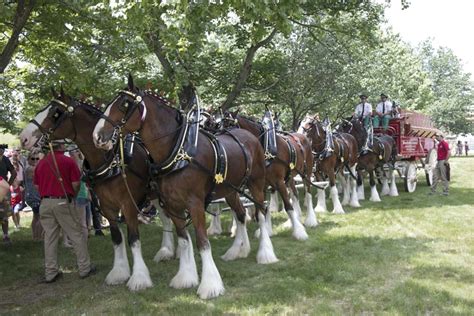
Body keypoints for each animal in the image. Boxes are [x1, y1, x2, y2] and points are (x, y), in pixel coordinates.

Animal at [18, 89, 180, 292]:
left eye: (55, 112)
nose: (23, 137)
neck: (110, 159)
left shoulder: (128, 205)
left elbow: (133, 238)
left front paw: (139, 278)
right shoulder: (107, 206)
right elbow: (117, 238)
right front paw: (119, 273)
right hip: (155, 196)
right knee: (167, 219)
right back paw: (167, 252)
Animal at [92, 76, 278, 298]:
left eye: (124, 104)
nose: (97, 136)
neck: (178, 152)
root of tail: (250, 137)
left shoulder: (195, 204)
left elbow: (202, 242)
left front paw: (210, 285)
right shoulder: (173, 205)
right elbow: (183, 239)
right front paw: (186, 277)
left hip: (256, 184)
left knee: (260, 213)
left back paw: (265, 253)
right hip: (231, 190)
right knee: (241, 214)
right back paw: (237, 250)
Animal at [224, 110, 316, 239]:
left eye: (229, 126)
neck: (265, 146)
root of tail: (302, 136)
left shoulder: (279, 182)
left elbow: (288, 207)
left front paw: (299, 232)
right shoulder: (261, 184)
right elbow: (263, 208)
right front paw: (266, 231)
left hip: (306, 173)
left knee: (307, 193)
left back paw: (311, 220)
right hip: (290, 177)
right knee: (295, 194)